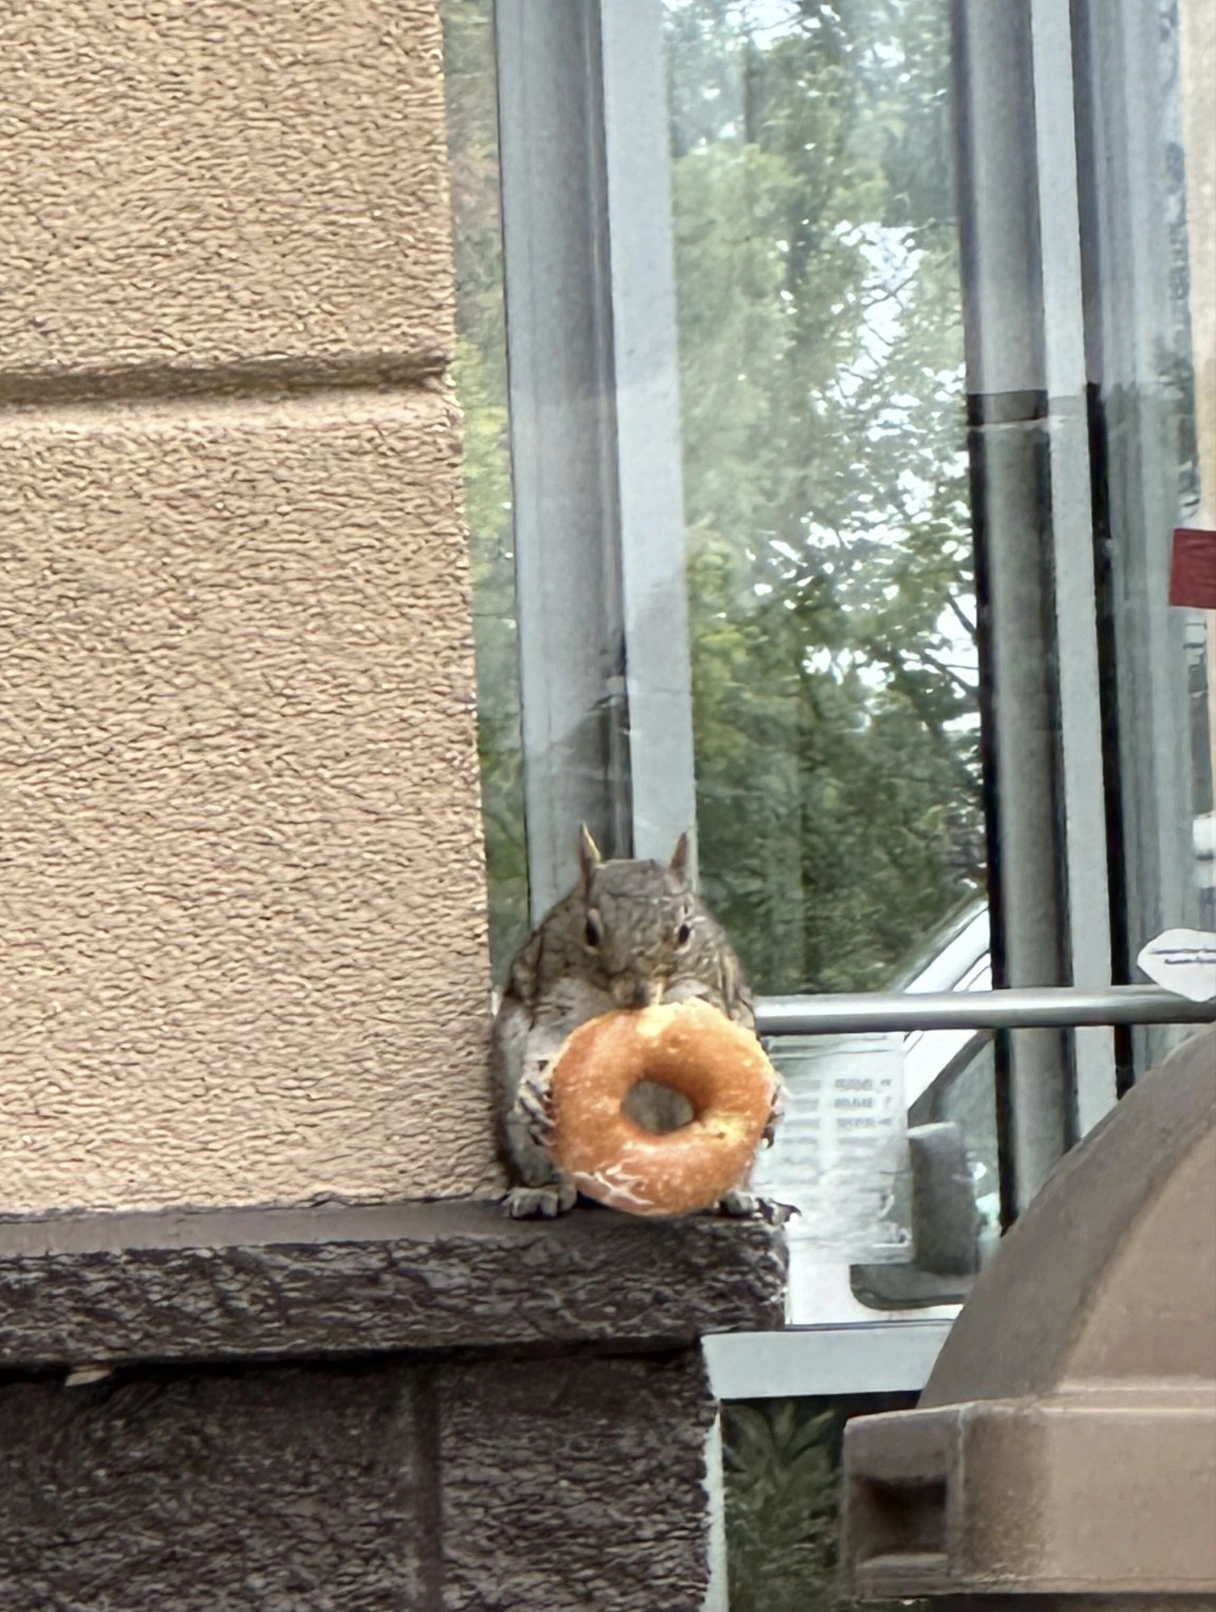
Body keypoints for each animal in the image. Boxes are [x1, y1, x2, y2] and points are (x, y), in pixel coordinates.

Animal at [492, 824, 778, 1218]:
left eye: (685, 932)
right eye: (590, 932)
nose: (638, 994)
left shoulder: (709, 995)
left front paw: (776, 1099)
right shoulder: (558, 997)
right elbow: (546, 1041)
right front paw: (533, 1087)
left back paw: (733, 1193)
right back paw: (542, 1191)